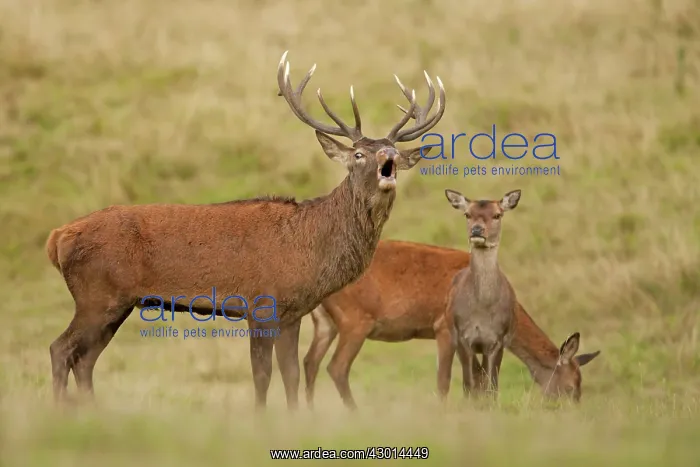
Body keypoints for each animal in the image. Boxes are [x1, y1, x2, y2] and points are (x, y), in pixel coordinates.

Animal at [44, 50, 446, 409]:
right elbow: (262, 375)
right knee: (60, 348)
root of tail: (57, 237)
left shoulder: (292, 314)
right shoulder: (261, 304)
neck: (311, 246)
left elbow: (291, 375)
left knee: (85, 359)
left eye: (394, 150)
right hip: (96, 295)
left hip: (117, 303)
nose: (387, 158)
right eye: (359, 154)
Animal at [303, 239, 600, 409]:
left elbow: (479, 380)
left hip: (326, 322)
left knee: (310, 361)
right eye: (572, 386)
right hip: (356, 319)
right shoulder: (445, 326)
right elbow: (445, 380)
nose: (574, 413)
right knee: (336, 366)